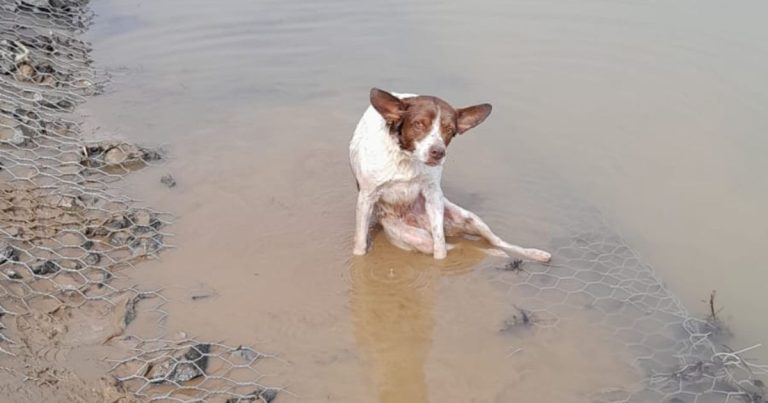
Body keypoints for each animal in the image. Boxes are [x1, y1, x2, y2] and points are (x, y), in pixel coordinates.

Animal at [348, 88, 552, 262]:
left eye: (449, 130)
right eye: (418, 124)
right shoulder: (367, 196)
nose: (438, 152)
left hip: (468, 219)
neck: (407, 158)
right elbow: (360, 241)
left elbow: (440, 247)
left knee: (492, 242)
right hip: (417, 238)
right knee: (460, 247)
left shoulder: (432, 194)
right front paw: (358, 257)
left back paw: (533, 254)